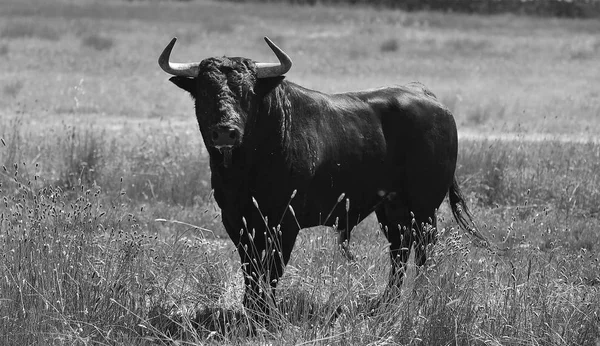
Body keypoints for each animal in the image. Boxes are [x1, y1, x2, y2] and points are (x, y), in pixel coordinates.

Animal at [157, 37, 486, 318]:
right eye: (204, 91)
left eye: (248, 93)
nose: (226, 132)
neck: (245, 169)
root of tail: (428, 97)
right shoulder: (237, 220)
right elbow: (250, 267)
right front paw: (251, 310)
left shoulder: (283, 222)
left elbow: (271, 269)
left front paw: (265, 314)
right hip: (392, 208)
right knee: (400, 249)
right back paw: (387, 302)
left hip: (424, 206)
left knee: (424, 249)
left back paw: (420, 297)